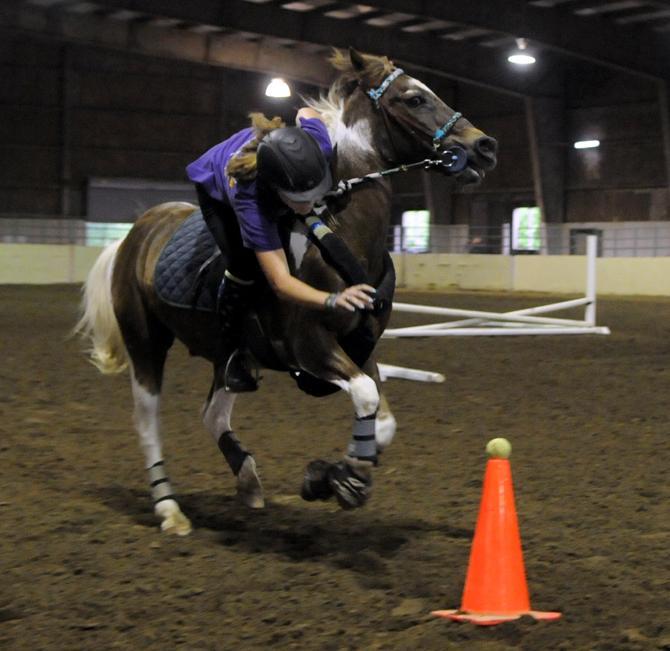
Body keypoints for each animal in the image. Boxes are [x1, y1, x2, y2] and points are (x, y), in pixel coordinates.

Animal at [77, 49, 498, 536]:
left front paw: (338, 476)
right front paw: (344, 479)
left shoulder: (361, 345)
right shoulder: (308, 346)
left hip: (227, 355)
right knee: (147, 422)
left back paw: (247, 481)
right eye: (413, 98)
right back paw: (169, 509)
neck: (342, 234)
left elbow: (381, 417)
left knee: (213, 413)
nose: (485, 145)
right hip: (146, 342)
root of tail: (132, 236)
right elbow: (367, 397)